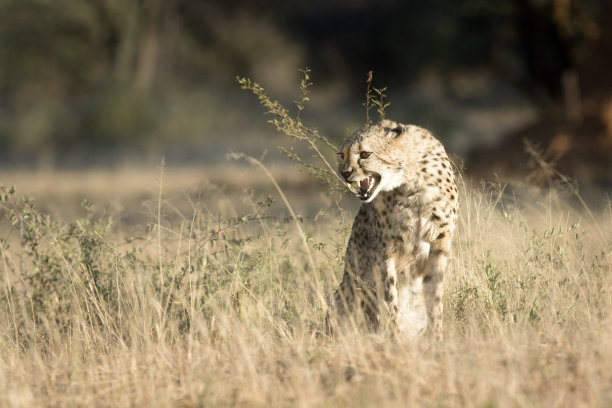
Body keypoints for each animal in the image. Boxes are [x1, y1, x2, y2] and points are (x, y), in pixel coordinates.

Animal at [328, 118, 456, 342]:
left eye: (365, 154)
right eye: (341, 155)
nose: (344, 173)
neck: (412, 181)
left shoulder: (439, 245)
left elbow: (435, 298)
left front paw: (436, 338)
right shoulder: (385, 252)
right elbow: (389, 300)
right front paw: (396, 340)